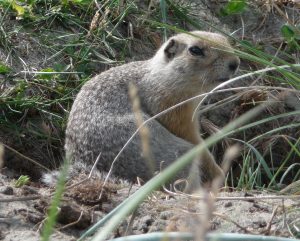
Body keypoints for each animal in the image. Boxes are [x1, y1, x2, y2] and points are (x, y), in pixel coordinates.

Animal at [62, 30, 240, 186]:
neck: (162, 77)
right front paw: (219, 173)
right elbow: (196, 142)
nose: (235, 63)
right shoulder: (174, 109)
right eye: (195, 50)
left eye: (225, 39)